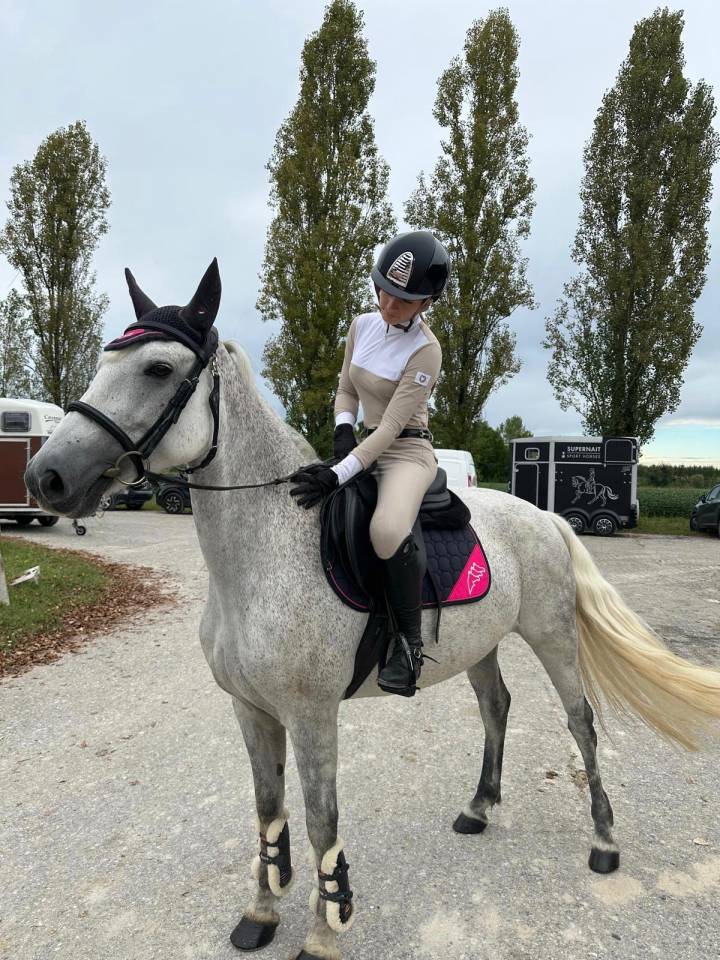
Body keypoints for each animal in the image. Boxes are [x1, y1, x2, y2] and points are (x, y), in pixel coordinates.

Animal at [25, 262, 720, 960]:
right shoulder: (250, 709)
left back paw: (604, 842)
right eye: (105, 362)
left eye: (159, 369)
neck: (264, 554)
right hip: (481, 644)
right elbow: (267, 810)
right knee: (496, 707)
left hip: (551, 636)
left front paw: (322, 932)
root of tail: (544, 516)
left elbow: (318, 822)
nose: (45, 477)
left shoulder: (311, 714)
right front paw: (261, 913)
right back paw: (479, 808)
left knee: (581, 723)